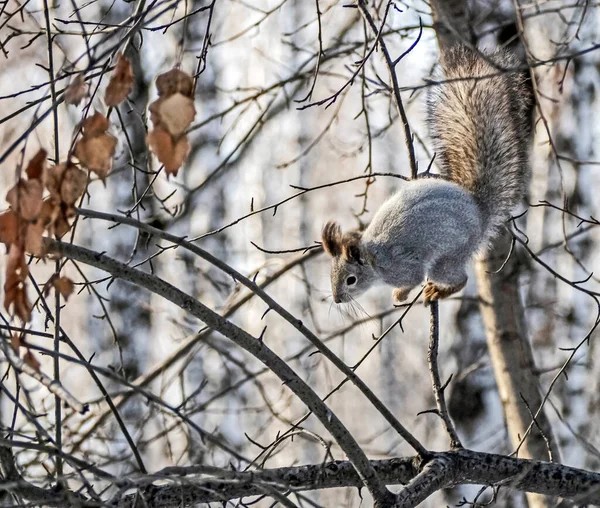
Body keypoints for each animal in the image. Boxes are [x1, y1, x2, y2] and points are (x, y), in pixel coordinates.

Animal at [324, 45, 528, 304]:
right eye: (331, 275)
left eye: (351, 280)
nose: (337, 299)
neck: (375, 259)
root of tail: (480, 211)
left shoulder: (403, 267)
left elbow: (413, 278)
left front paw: (400, 294)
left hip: (448, 256)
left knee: (459, 278)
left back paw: (440, 290)